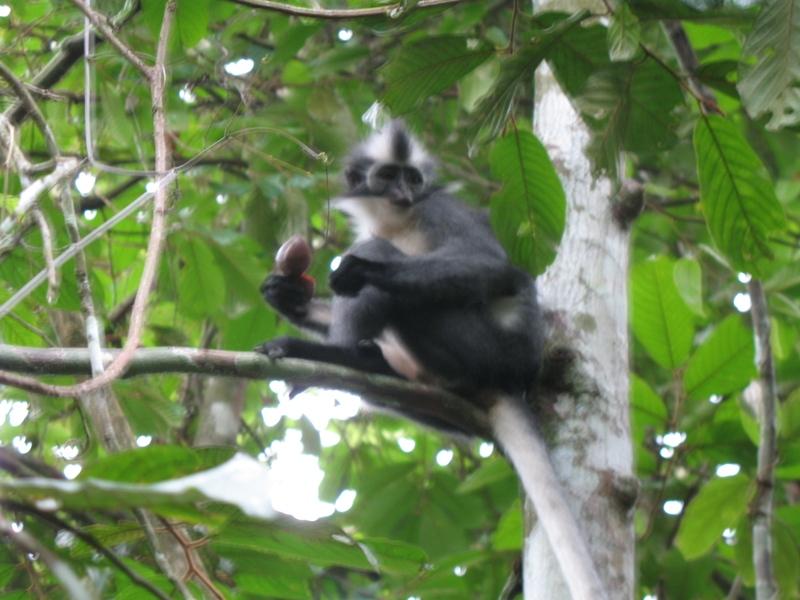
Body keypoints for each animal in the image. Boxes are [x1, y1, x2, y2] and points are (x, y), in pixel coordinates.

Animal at [258, 123, 608, 600]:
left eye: (413, 179)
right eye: (389, 176)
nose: (404, 192)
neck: (399, 220)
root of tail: (513, 376)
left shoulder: (438, 209)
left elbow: (488, 265)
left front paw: (362, 272)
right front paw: (289, 297)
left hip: (476, 346)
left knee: (387, 258)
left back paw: (337, 352)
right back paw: (366, 363)